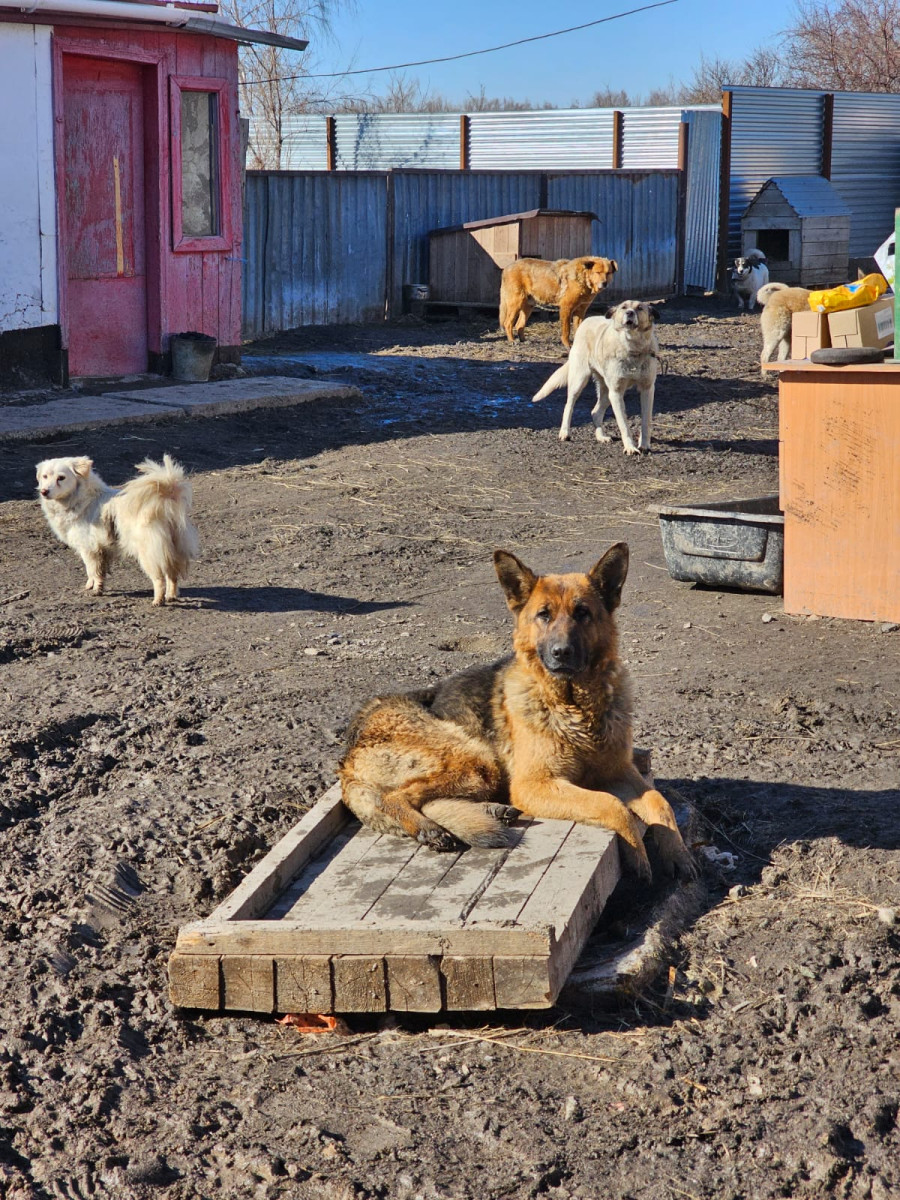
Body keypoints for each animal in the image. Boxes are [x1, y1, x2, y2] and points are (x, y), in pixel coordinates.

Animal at [37, 453, 199, 604]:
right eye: (45, 476)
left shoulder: (89, 550)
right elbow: (95, 573)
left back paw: (158, 601)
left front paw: (96, 591)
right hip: (173, 549)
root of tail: (164, 503)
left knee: (159, 579)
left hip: (149, 553)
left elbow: (93, 571)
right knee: (172, 575)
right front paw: (91, 586)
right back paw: (171, 596)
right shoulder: (100, 551)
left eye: (61, 478)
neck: (84, 498)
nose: (44, 491)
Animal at [340, 544, 696, 883]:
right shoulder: (533, 785)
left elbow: (659, 803)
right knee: (397, 797)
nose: (561, 652)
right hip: (476, 760)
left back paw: (493, 811)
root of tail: (347, 758)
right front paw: (637, 855)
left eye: (582, 613)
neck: (574, 707)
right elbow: (611, 804)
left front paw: (678, 855)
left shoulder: (618, 771)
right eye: (544, 615)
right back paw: (428, 828)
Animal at [528, 300, 662, 453]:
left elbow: (646, 421)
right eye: (624, 307)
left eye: (640, 308)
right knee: (569, 405)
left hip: (606, 392)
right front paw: (630, 447)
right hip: (579, 381)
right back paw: (564, 432)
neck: (632, 348)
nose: (629, 313)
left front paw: (644, 445)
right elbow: (624, 425)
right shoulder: (616, 392)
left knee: (595, 412)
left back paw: (601, 437)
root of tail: (587, 320)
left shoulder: (647, 389)